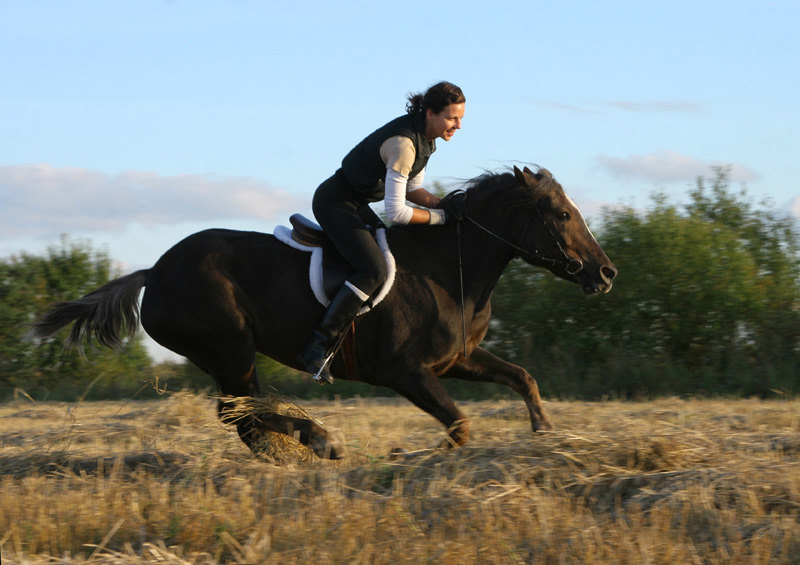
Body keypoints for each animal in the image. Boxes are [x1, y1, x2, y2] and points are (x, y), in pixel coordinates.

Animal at [29, 166, 620, 458]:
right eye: (560, 214)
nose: (606, 272)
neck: (448, 270)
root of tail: (154, 271)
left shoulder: (455, 361)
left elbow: (522, 378)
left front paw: (547, 435)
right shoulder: (406, 372)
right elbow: (459, 424)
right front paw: (415, 458)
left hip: (229, 355)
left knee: (243, 415)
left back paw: (285, 450)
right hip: (228, 348)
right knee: (239, 411)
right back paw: (319, 439)